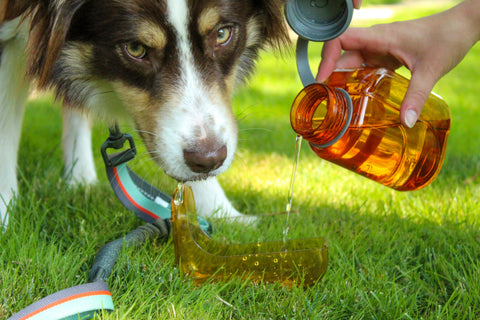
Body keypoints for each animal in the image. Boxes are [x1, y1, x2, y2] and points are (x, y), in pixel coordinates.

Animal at [0, 0, 288, 230]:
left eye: (221, 34)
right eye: (136, 48)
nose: (209, 160)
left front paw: (224, 212)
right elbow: (5, 127)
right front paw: (4, 219)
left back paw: (81, 178)